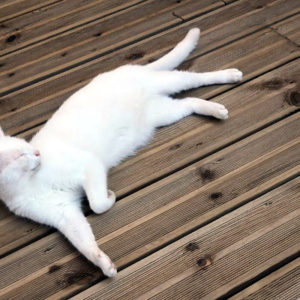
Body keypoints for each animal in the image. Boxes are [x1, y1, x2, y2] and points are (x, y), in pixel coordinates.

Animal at [0, 29, 241, 278]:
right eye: (21, 154)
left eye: (26, 146)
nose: (37, 153)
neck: (27, 186)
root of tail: (126, 69)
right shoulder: (64, 214)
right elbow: (85, 243)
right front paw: (104, 265)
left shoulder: (89, 165)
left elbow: (97, 204)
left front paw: (110, 196)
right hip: (163, 113)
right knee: (189, 101)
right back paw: (215, 109)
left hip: (167, 82)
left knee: (192, 77)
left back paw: (230, 75)